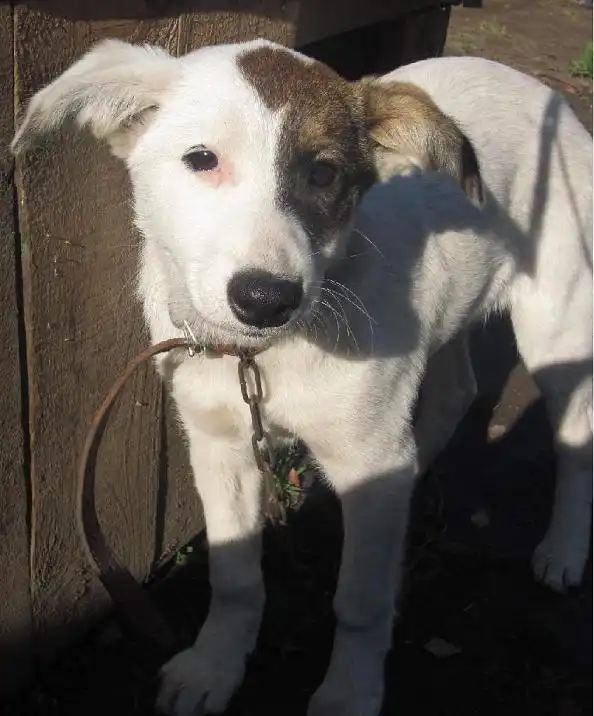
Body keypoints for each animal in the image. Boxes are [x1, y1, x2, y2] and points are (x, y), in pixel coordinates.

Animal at [12, 40, 592, 716]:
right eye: (201, 160)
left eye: (324, 174)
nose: (266, 299)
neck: (261, 358)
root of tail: (542, 91)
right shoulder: (218, 445)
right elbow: (234, 577)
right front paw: (215, 665)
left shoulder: (361, 446)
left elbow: (362, 603)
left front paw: (349, 691)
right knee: (454, 394)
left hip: (557, 323)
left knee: (575, 440)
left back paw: (564, 549)